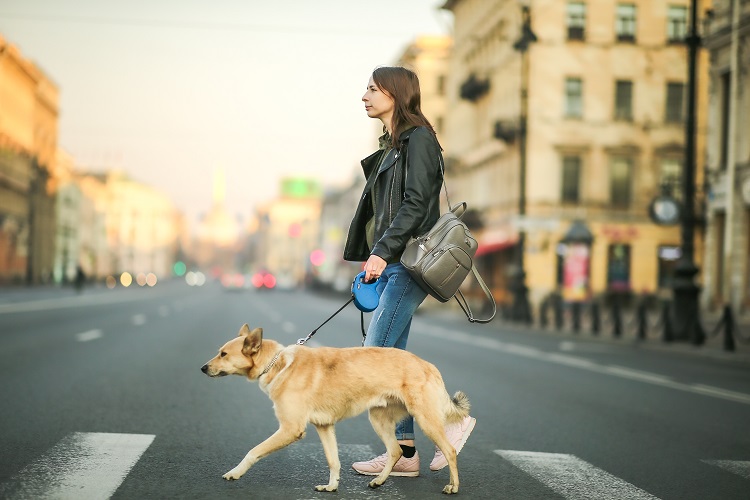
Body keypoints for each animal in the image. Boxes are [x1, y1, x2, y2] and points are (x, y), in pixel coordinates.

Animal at [200, 324, 470, 492]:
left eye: (223, 354)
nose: (202, 368)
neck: (278, 364)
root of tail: (427, 364)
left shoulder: (290, 429)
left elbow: (253, 451)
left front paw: (235, 472)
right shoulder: (324, 426)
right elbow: (333, 461)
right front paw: (331, 487)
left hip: (425, 419)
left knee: (449, 451)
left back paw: (453, 486)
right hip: (379, 419)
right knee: (395, 451)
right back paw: (379, 481)